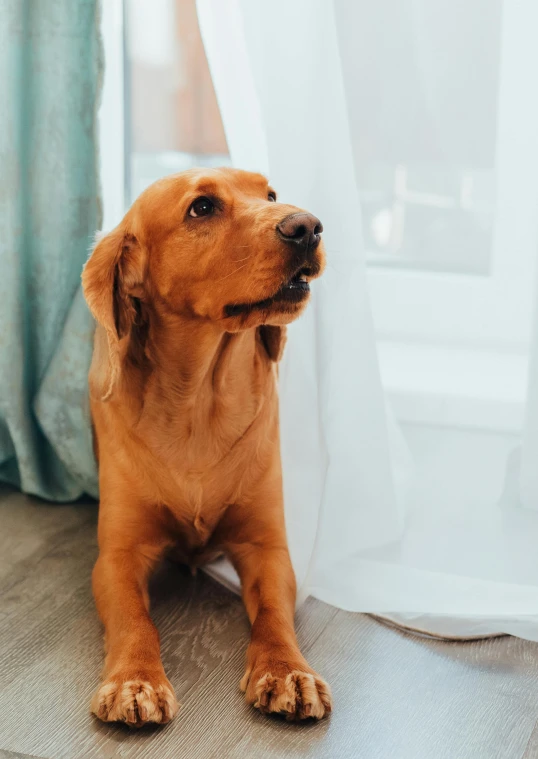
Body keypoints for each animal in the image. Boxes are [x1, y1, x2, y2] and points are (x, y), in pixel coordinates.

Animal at [82, 168, 330, 732]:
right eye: (201, 208)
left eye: (271, 195)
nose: (307, 226)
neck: (199, 401)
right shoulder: (117, 556)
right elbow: (134, 619)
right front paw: (135, 680)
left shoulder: (267, 548)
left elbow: (276, 617)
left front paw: (288, 671)